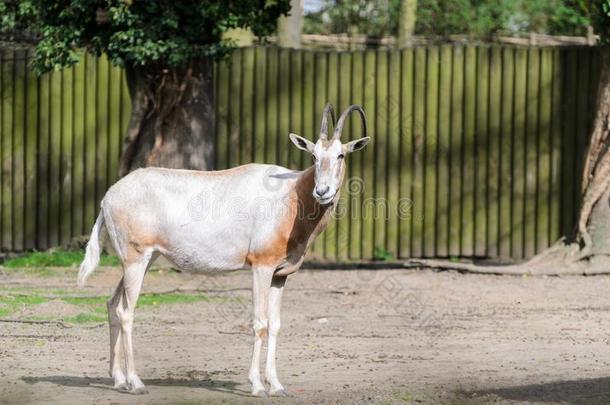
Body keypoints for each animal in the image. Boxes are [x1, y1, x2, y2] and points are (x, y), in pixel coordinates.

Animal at [78, 103, 368, 394]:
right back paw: (136, 383)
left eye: (341, 154)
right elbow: (260, 323)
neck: (291, 195)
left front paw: (276, 385)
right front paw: (258, 386)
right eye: (314, 155)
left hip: (143, 261)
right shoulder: (261, 267)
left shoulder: (280, 275)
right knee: (126, 312)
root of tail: (108, 197)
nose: (323, 191)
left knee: (112, 304)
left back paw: (118, 379)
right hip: (136, 260)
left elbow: (275, 325)